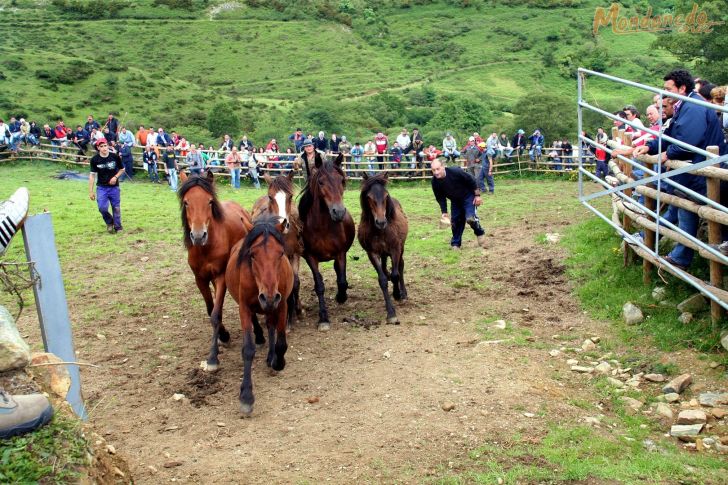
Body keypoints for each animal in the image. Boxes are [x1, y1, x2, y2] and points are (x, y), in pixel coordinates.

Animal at [178, 170, 256, 370]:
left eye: (209, 201)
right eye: (186, 202)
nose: (198, 235)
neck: (206, 247)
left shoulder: (221, 277)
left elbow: (215, 314)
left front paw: (213, 356)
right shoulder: (200, 279)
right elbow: (210, 309)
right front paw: (223, 335)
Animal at [225, 217, 292, 414]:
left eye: (281, 253)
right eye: (253, 255)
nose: (268, 296)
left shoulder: (281, 303)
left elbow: (281, 343)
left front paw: (277, 361)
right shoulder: (245, 308)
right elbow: (248, 349)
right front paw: (246, 396)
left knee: (271, 326)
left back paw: (271, 356)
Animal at [250, 172, 302, 328]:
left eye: (290, 196)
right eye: (271, 197)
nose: (283, 223)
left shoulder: (294, 254)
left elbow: (295, 282)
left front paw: (294, 313)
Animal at [298, 153, 356, 330]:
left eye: (342, 180)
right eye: (321, 182)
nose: (338, 212)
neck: (322, 227)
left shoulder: (341, 253)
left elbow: (342, 281)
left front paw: (341, 297)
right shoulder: (310, 257)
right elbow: (319, 285)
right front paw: (323, 318)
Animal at [358, 172, 410, 324]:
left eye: (386, 195)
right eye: (369, 197)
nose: (381, 222)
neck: (380, 231)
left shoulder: (395, 249)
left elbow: (396, 274)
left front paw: (397, 294)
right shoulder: (372, 253)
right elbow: (382, 279)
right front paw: (391, 313)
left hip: (401, 248)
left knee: (400, 266)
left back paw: (403, 293)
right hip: (383, 253)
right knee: (385, 267)